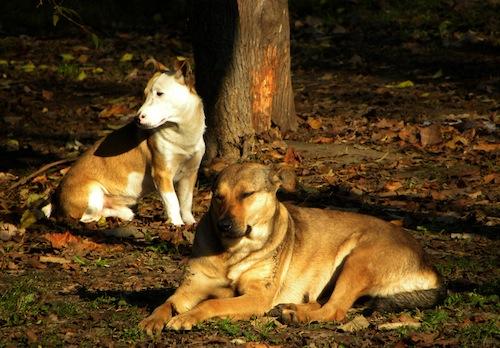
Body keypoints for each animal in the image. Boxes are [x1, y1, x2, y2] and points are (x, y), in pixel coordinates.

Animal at [45, 61, 205, 226]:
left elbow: (186, 202)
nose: (136, 118)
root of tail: (55, 199)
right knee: (87, 217)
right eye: (145, 95)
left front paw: (190, 222)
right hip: (93, 192)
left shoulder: (190, 173)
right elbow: (173, 202)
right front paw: (176, 224)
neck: (183, 133)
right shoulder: (162, 174)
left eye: (159, 94)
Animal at [139, 162, 444, 334]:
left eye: (247, 194)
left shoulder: (257, 297)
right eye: (217, 197)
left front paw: (188, 317)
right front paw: (153, 320)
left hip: (358, 260)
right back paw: (292, 307)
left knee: (335, 310)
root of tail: (430, 265)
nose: (224, 225)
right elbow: (166, 304)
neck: (232, 251)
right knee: (327, 302)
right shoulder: (189, 289)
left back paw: (297, 314)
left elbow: (213, 303)